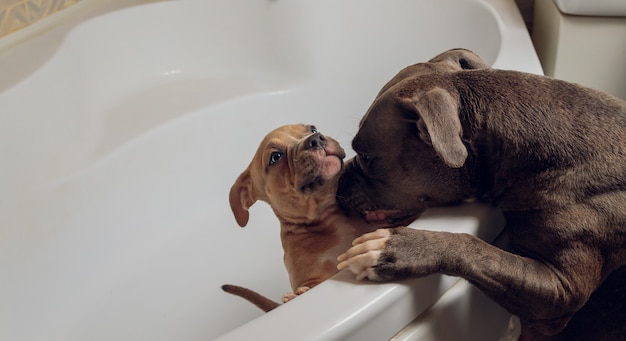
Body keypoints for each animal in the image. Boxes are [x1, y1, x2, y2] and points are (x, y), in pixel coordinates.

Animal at [227, 124, 378, 308]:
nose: (316, 139)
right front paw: (295, 296)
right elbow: (308, 286)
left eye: (312, 129)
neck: (328, 216)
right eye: (275, 157)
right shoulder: (313, 278)